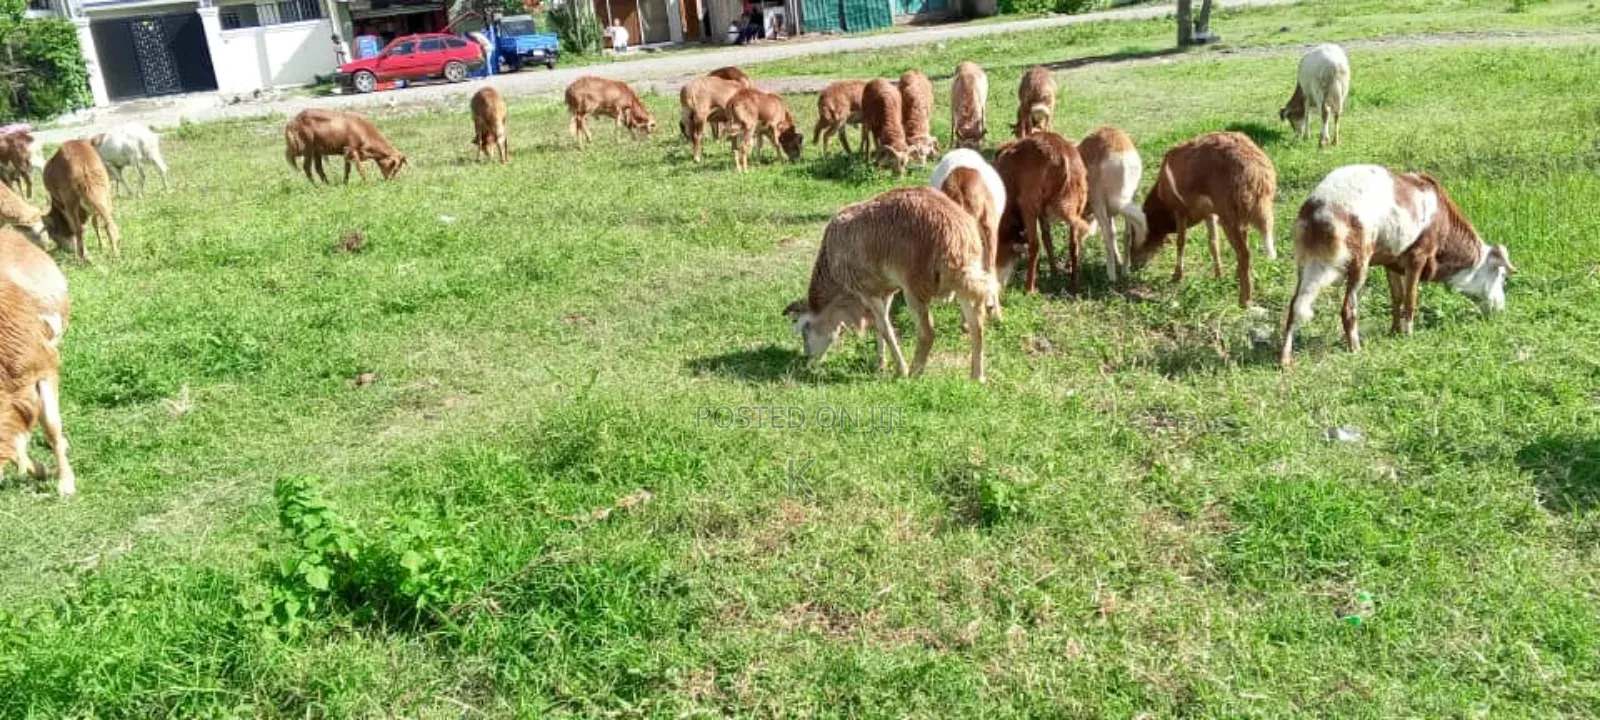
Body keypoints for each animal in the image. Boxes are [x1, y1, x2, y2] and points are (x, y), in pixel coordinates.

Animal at [783, 187, 997, 382]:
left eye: (805, 328)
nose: (807, 359)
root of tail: (956, 238)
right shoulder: (885, 290)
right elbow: (881, 326)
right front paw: (881, 364)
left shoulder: (866, 290)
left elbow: (885, 328)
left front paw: (900, 369)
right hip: (965, 281)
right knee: (977, 325)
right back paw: (977, 377)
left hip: (915, 287)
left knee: (927, 333)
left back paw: (913, 373)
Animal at [993, 132, 1092, 294]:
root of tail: (1063, 157)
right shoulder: (1042, 214)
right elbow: (1048, 238)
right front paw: (1054, 272)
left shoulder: (1028, 208)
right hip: (1078, 206)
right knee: (1074, 244)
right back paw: (1074, 284)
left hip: (1029, 205)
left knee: (1035, 245)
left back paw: (1029, 288)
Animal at [1077, 126, 1148, 284]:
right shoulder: (1110, 212)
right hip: (1130, 199)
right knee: (1127, 234)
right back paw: (1125, 270)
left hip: (1099, 203)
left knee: (1108, 234)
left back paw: (1111, 276)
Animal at [1129, 131, 1277, 307]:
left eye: (1132, 240)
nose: (1132, 266)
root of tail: (1257, 173)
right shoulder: (1210, 214)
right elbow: (1213, 244)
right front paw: (1219, 275)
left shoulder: (1180, 212)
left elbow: (1181, 242)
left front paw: (1177, 275)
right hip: (1238, 217)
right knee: (1244, 248)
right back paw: (1238, 277)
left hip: (1228, 218)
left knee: (1244, 254)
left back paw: (1245, 300)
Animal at [1280, 165, 1515, 366]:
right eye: (1502, 276)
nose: (1501, 309)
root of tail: (1319, 210)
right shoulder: (1417, 257)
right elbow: (1410, 300)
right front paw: (1409, 335)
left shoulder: (1391, 262)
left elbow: (1397, 298)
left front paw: (1394, 332)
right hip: (1358, 260)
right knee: (1348, 308)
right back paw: (1356, 350)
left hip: (1305, 262)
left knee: (1294, 305)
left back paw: (1285, 360)